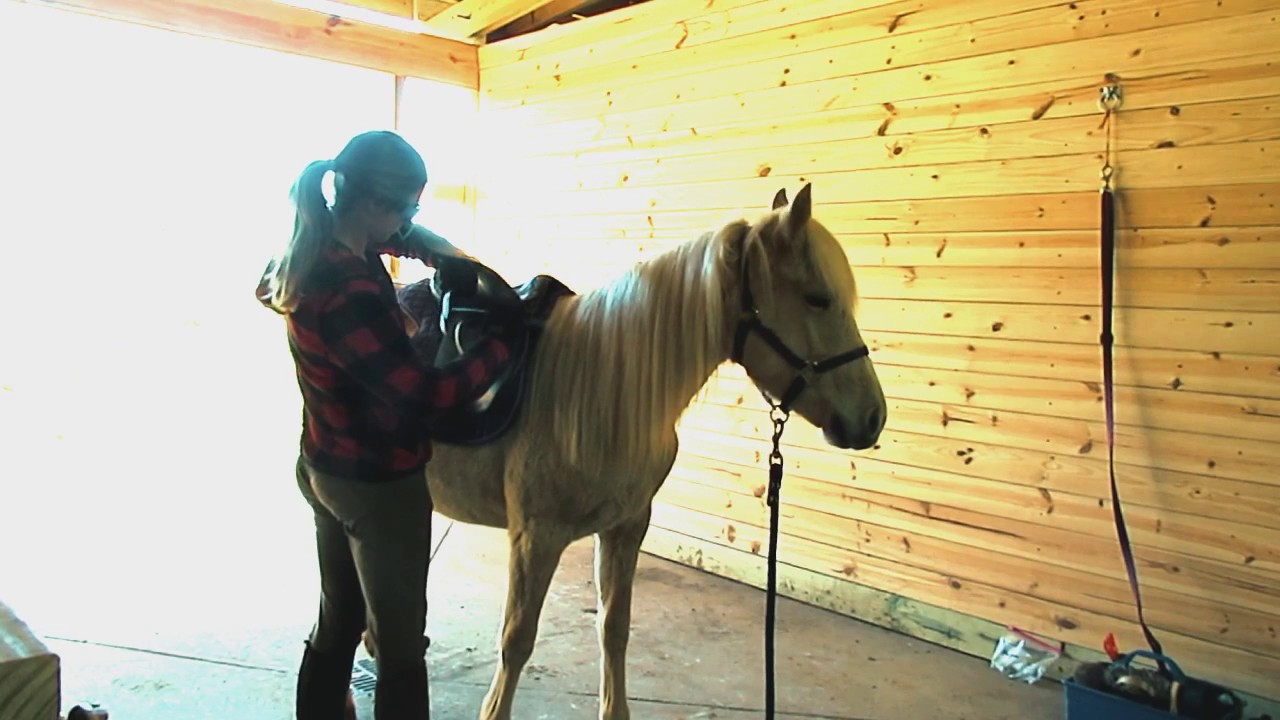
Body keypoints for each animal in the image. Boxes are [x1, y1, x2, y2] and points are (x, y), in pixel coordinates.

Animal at [372, 183, 887, 720]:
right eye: (817, 299)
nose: (873, 416)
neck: (602, 387)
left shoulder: (626, 527)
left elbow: (614, 629)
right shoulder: (536, 535)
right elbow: (516, 641)